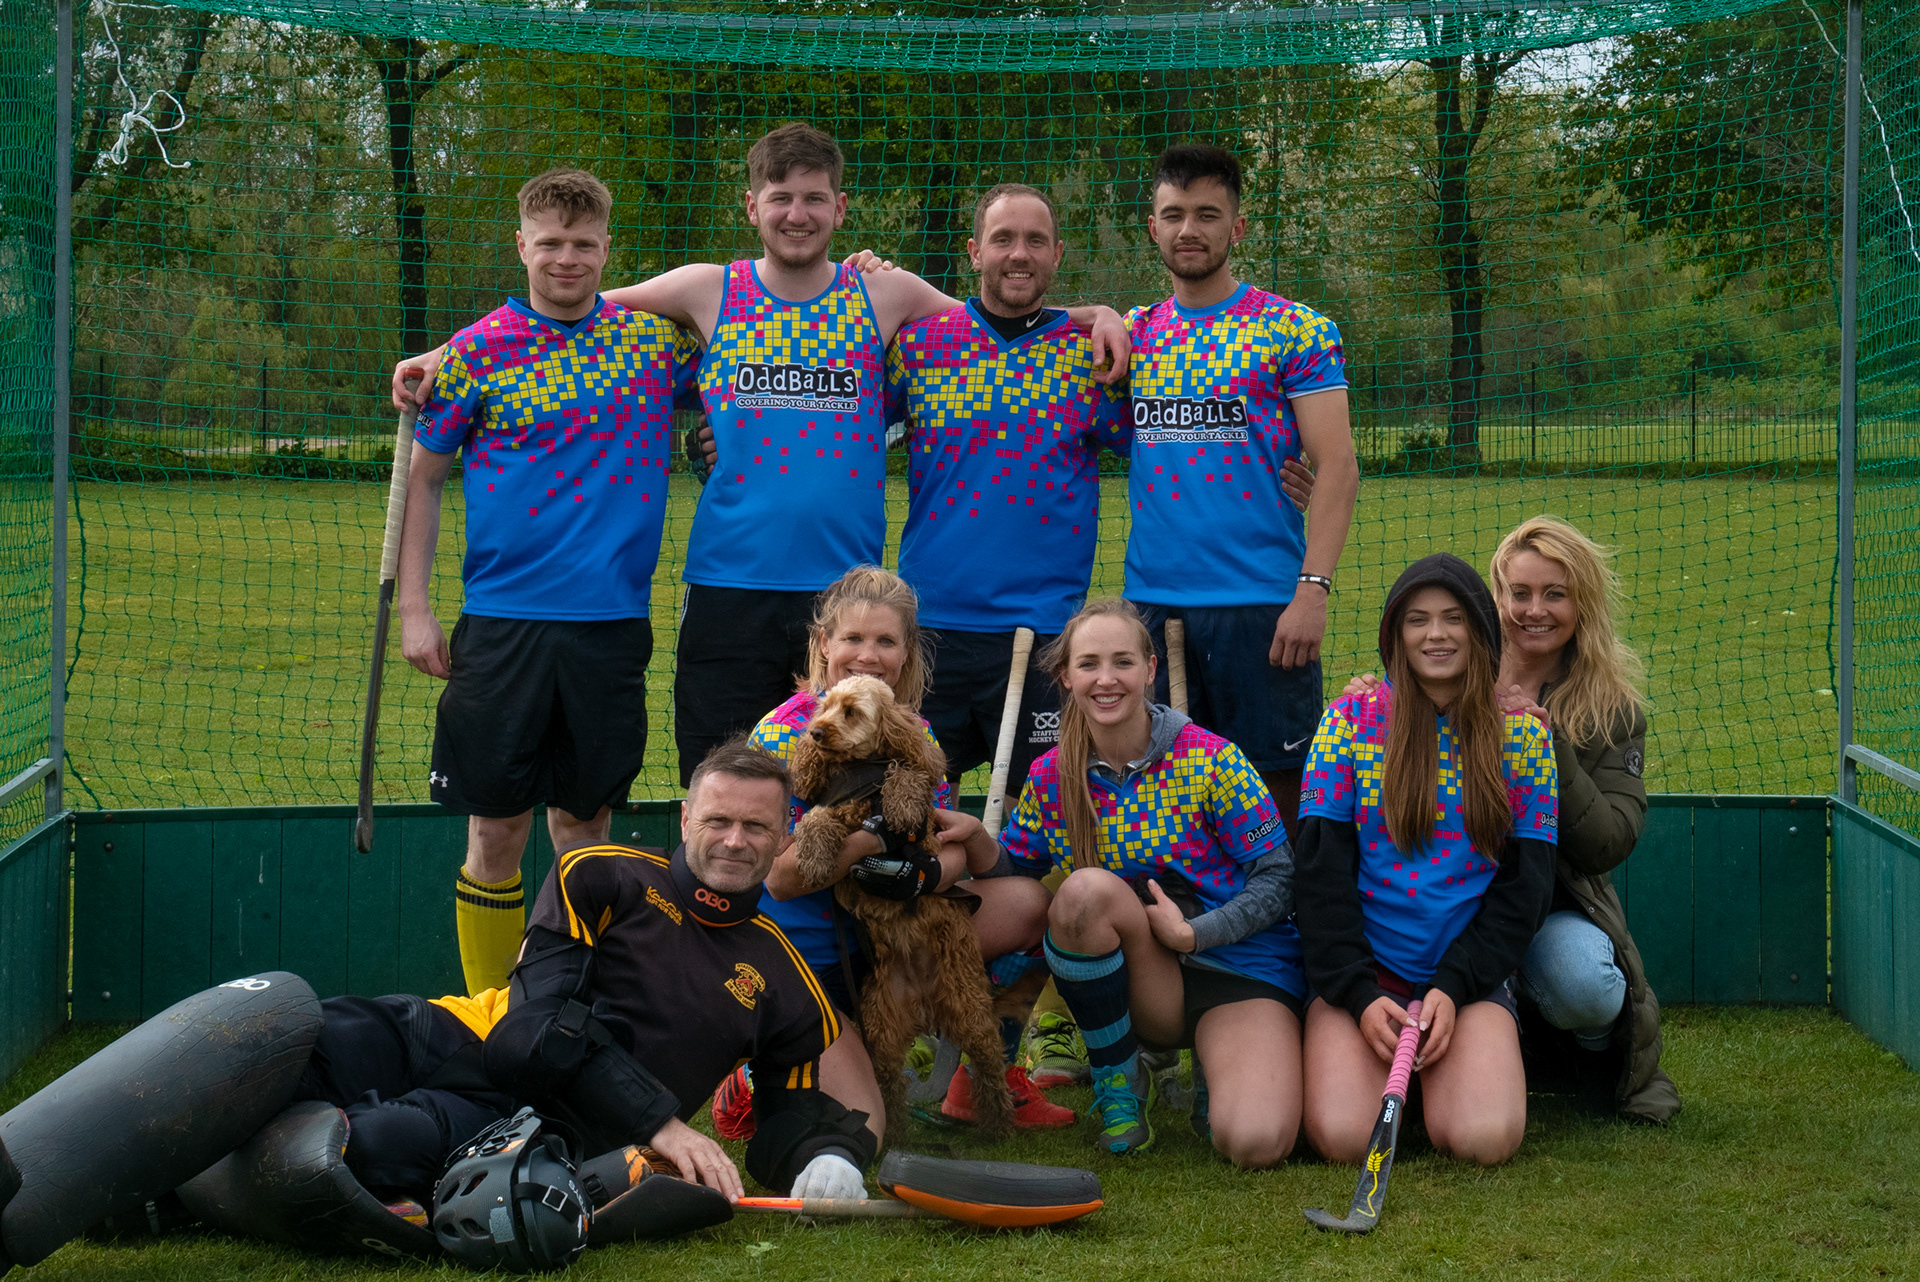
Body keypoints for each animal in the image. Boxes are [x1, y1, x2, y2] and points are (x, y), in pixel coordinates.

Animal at [789, 675, 1015, 1138]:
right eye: (826, 706)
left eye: (851, 711)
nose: (816, 734)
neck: (861, 769)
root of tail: (925, 1004)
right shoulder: (836, 806)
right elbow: (815, 818)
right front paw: (816, 856)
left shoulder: (921, 820)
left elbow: (907, 772)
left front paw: (902, 802)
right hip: (881, 1024)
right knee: (889, 1084)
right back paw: (892, 1133)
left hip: (969, 1005)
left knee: (988, 1063)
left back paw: (998, 1125)